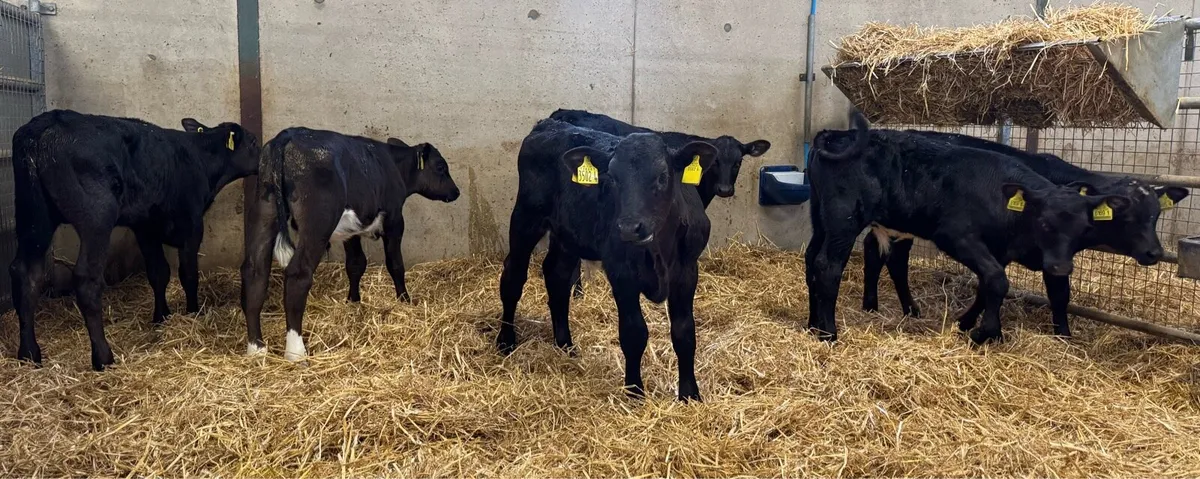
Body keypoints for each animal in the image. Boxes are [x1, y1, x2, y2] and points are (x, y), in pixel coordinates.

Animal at [9, 110, 261, 371]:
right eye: (253, 142)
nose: (263, 159)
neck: (199, 160)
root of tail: (48, 121)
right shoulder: (191, 224)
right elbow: (188, 274)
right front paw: (193, 312)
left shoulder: (145, 227)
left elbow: (159, 273)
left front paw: (161, 317)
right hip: (96, 217)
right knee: (86, 278)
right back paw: (103, 357)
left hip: (34, 216)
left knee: (26, 273)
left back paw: (29, 353)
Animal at [240, 128, 460, 362]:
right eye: (441, 167)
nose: (456, 191)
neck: (392, 165)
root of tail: (288, 135)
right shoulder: (394, 220)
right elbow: (395, 264)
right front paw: (404, 301)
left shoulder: (351, 231)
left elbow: (355, 264)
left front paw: (353, 302)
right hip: (318, 223)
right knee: (298, 274)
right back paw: (296, 353)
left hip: (265, 211)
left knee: (255, 271)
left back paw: (256, 349)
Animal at [497, 118, 718, 401]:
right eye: (612, 178)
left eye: (662, 176)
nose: (629, 227)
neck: (658, 249)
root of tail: (548, 124)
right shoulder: (621, 272)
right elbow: (634, 333)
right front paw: (634, 392)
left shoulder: (687, 271)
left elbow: (684, 332)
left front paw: (690, 395)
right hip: (526, 218)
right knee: (513, 276)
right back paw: (506, 340)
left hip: (567, 234)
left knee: (557, 276)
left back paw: (565, 344)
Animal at [805, 113, 1133, 345]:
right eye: (1044, 223)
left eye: (1084, 228)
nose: (1061, 267)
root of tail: (836, 135)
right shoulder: (955, 236)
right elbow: (997, 280)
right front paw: (984, 333)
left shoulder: (999, 249)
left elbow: (989, 284)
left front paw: (978, 328)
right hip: (844, 220)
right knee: (828, 266)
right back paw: (829, 333)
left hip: (821, 218)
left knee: (811, 260)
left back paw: (811, 324)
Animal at [861, 130, 1188, 337]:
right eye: (1124, 214)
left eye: (1155, 214)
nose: (1155, 252)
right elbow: (992, 285)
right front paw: (970, 324)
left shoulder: (1041, 256)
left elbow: (1057, 295)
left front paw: (1064, 335)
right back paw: (884, 307)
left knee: (885, 255)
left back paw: (898, 308)